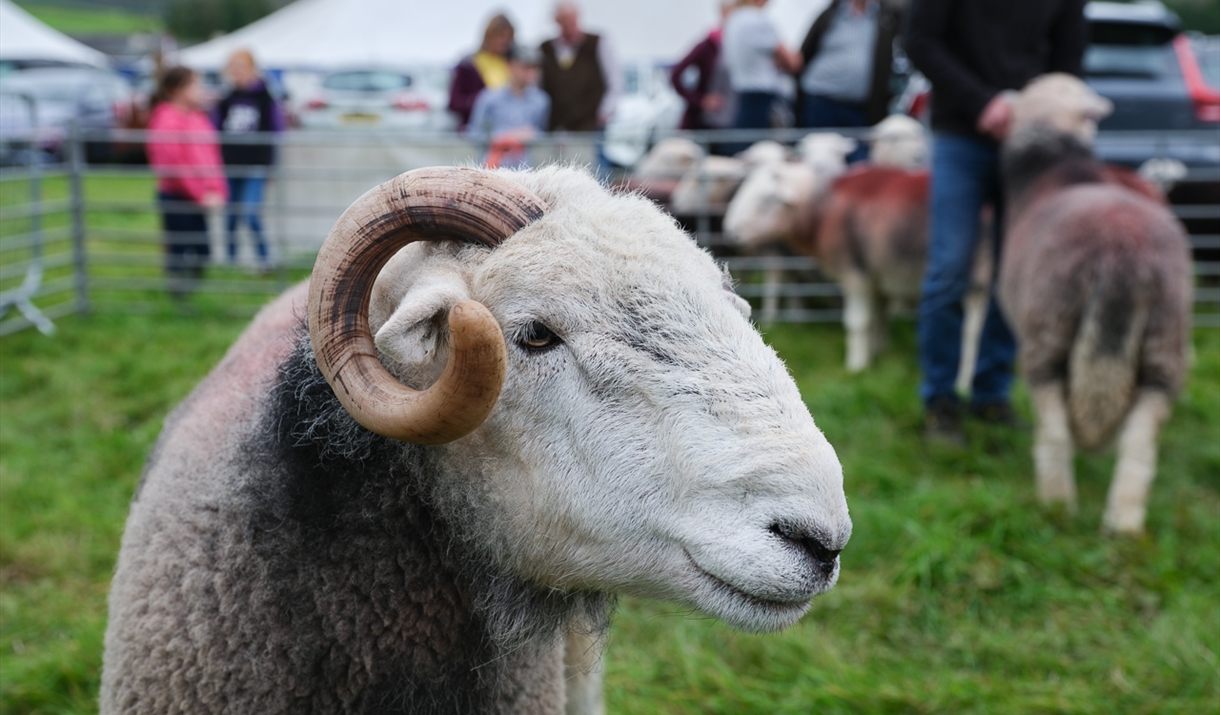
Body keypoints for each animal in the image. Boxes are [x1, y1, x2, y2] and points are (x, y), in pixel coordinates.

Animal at [998, 74, 1192, 534]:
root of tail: (1123, 256)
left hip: (1049, 325)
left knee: (1054, 430)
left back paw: (1056, 505)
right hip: (1165, 336)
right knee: (1141, 440)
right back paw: (1123, 521)